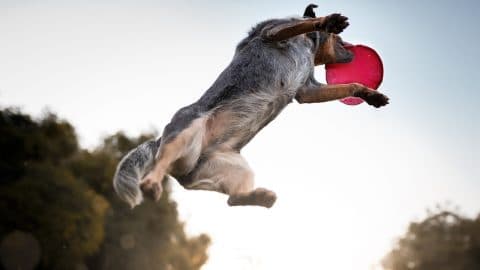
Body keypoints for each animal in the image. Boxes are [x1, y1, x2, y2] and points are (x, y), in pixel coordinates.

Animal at [112, 5, 390, 210]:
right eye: (340, 37)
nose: (352, 49)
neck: (309, 47)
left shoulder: (307, 90)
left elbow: (351, 84)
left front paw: (370, 94)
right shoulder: (274, 31)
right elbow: (301, 23)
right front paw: (327, 21)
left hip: (238, 170)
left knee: (232, 199)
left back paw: (260, 197)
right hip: (186, 130)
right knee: (159, 165)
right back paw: (151, 184)